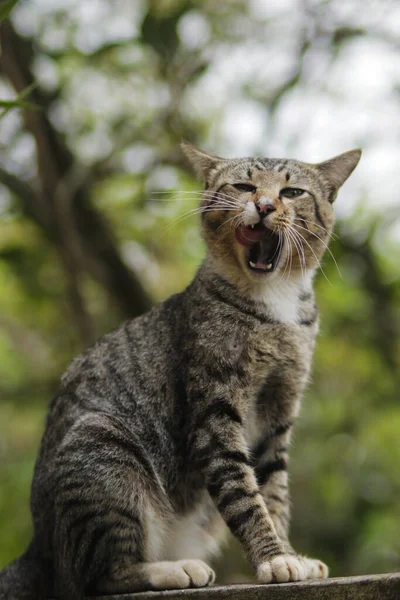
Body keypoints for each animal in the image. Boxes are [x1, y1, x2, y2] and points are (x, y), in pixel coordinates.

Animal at [0, 143, 360, 596]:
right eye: (244, 187)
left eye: (292, 192)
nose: (263, 205)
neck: (275, 306)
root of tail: (37, 548)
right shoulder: (214, 411)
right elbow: (244, 493)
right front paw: (275, 559)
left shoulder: (278, 412)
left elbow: (273, 491)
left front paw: (289, 554)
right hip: (102, 448)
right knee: (101, 574)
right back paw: (172, 569)